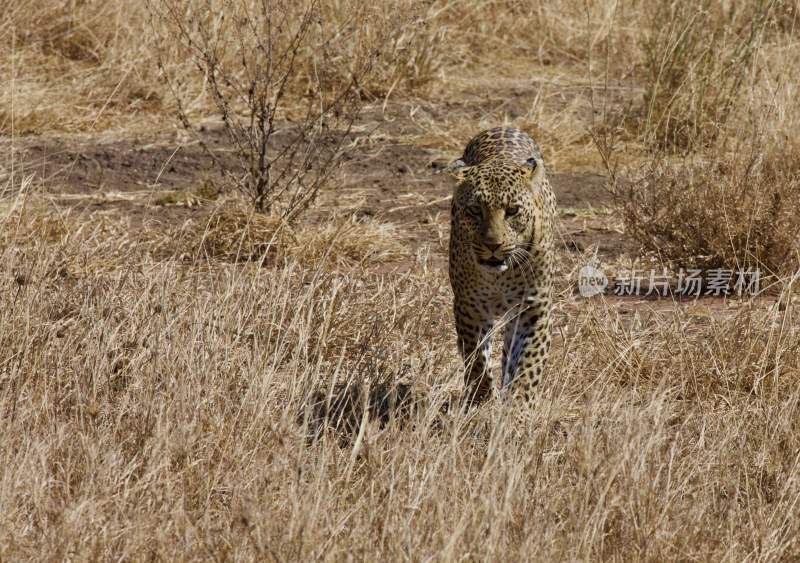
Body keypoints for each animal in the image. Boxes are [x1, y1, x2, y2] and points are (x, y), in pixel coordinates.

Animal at [444, 128, 556, 410]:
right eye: (475, 210)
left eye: (512, 210)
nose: (493, 245)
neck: (500, 277)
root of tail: (502, 127)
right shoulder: (469, 307)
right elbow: (476, 361)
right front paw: (480, 401)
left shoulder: (533, 309)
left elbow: (528, 365)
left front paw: (518, 409)